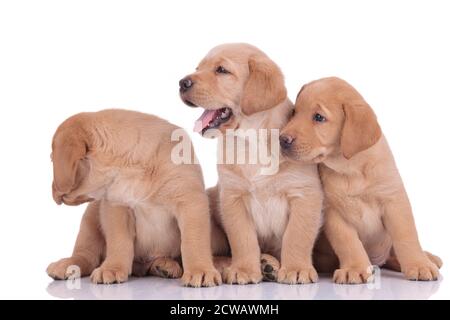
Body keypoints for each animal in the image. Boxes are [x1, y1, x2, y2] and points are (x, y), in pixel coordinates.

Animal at [46, 109, 227, 286]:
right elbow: (119, 242)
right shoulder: (116, 208)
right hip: (91, 216)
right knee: (87, 256)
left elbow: (193, 241)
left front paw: (200, 270)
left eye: (51, 159)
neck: (132, 167)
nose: (52, 190)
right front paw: (112, 268)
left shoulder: (190, 202)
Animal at [178, 43, 322, 284]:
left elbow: (296, 237)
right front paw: (244, 269)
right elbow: (242, 239)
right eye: (198, 68)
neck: (251, 142)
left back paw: (269, 264)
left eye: (221, 70)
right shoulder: (232, 197)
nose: (182, 83)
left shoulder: (305, 195)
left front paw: (296, 268)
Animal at [282, 77, 442, 282]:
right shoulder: (334, 213)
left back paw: (427, 258)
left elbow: (406, 236)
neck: (351, 170)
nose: (282, 139)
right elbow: (348, 243)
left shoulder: (394, 201)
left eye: (318, 117)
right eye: (294, 113)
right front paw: (355, 268)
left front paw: (419, 264)